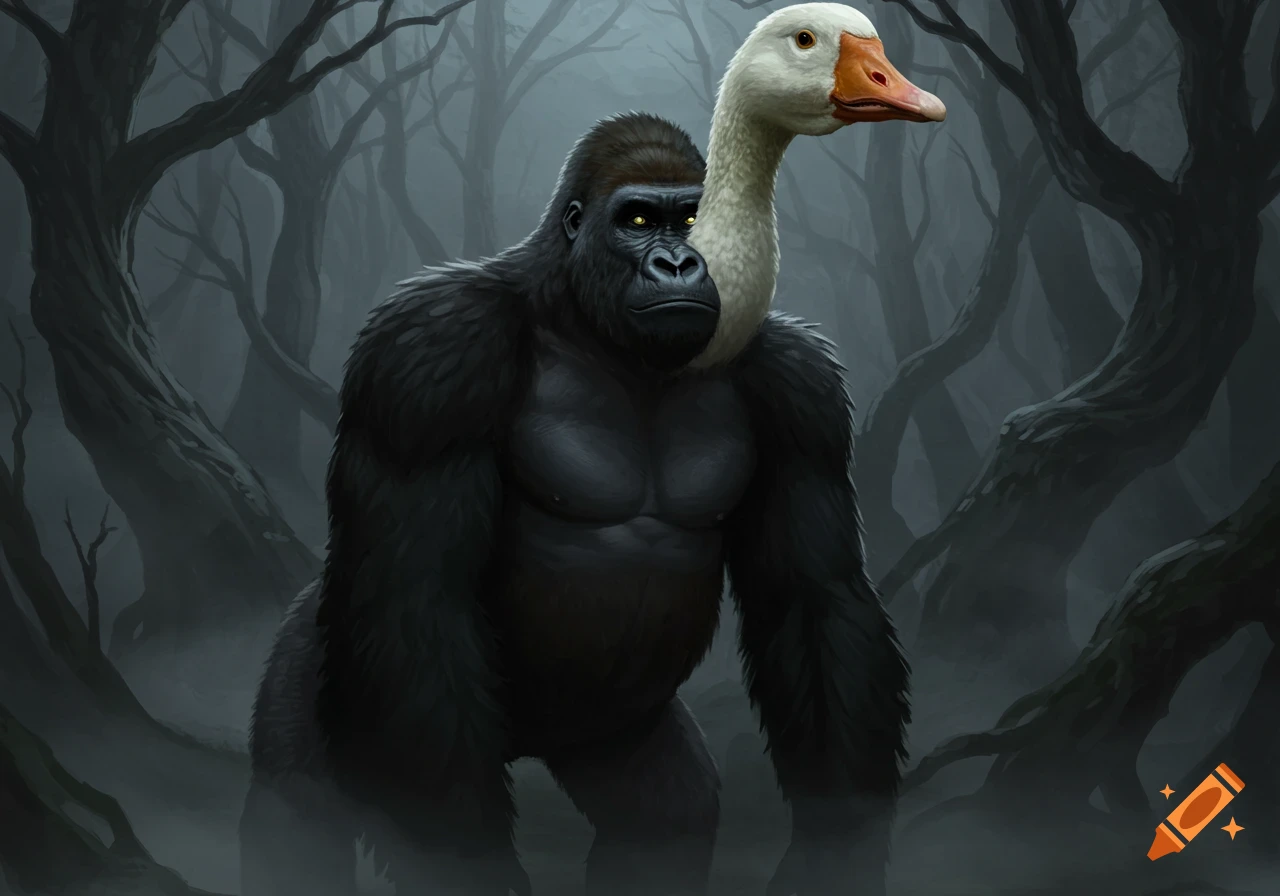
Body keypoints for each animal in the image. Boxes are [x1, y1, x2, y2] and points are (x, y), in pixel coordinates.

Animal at [238, 112, 908, 896]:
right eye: (640, 220)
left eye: (694, 220)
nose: (678, 264)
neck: (583, 316)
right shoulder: (428, 353)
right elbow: (417, 597)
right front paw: (463, 859)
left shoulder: (799, 386)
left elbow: (813, 599)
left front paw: (842, 841)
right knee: (301, 801)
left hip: (610, 732)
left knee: (667, 817)